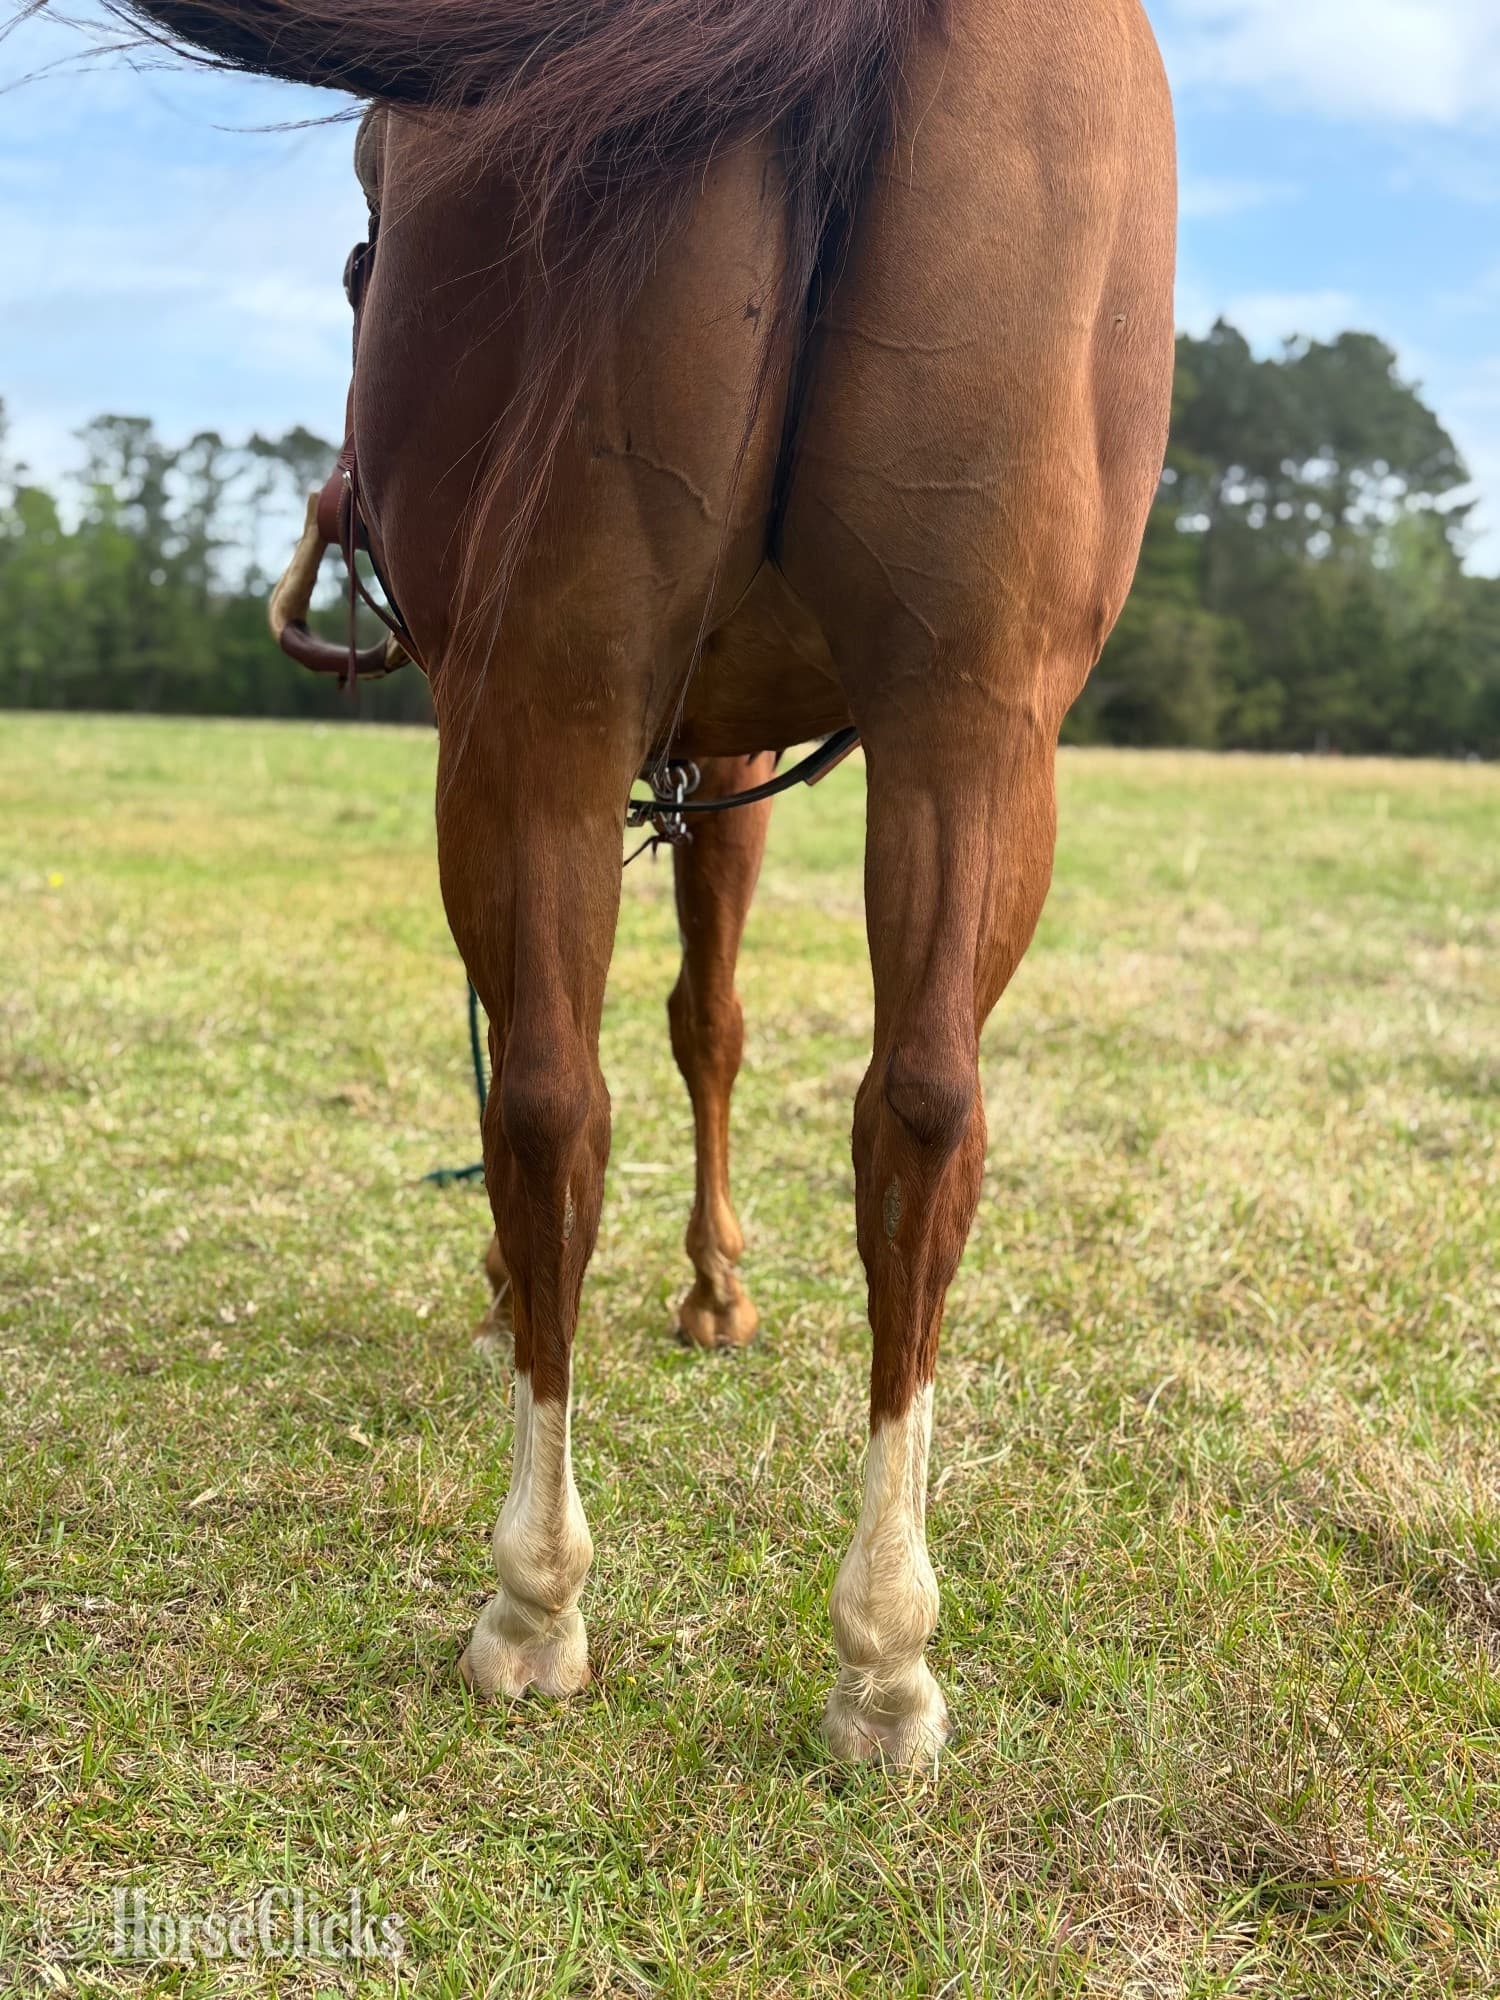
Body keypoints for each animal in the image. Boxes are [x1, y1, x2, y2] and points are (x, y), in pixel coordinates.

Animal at [90, 0, 1176, 1765]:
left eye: (362, 221)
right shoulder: (703, 750)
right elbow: (704, 1022)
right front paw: (698, 1284)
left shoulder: (636, 745)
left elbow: (665, 1031)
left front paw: (647, 1284)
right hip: (964, 719)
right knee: (916, 1107)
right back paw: (878, 1654)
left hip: (549, 699)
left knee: (547, 1094)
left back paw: (545, 1598)